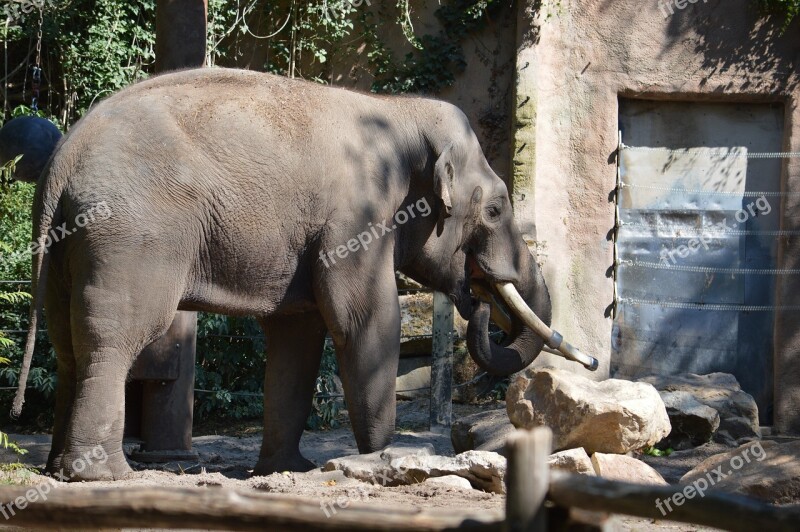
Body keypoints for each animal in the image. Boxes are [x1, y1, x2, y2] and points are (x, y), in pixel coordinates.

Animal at [12, 67, 552, 482]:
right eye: (496, 210)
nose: (479, 301)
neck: (399, 112)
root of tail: (62, 160)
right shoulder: (356, 219)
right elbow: (366, 322)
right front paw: (381, 461)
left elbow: (298, 336)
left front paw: (288, 470)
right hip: (129, 235)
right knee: (115, 336)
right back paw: (105, 476)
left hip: (67, 246)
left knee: (66, 343)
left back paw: (59, 471)